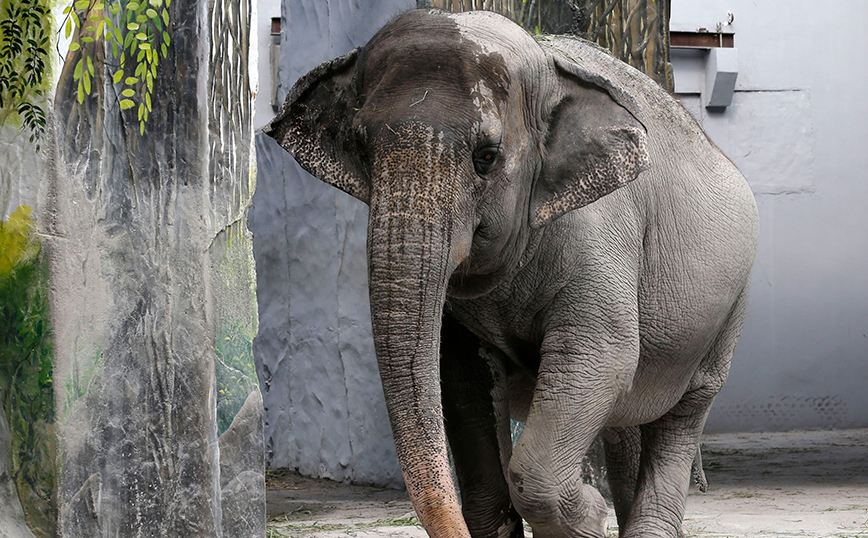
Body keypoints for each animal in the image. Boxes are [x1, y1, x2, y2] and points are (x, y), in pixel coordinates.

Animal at [266, 8, 760, 536]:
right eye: (360, 149)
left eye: (486, 156)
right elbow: (462, 378)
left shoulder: (603, 237)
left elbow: (602, 357)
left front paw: (589, 513)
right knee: (625, 422)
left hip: (729, 306)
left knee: (685, 412)